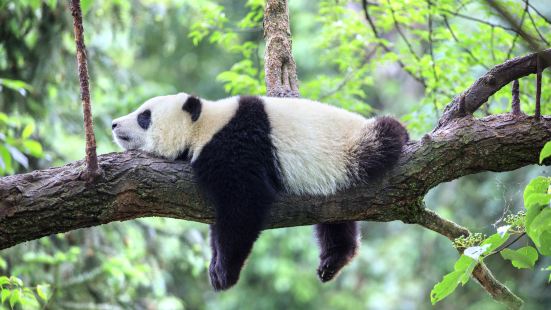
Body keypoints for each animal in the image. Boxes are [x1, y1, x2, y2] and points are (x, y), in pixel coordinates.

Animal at [112, 92, 408, 290]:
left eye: (144, 116)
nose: (114, 124)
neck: (205, 124)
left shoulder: (236, 146)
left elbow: (244, 204)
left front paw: (224, 272)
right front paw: (215, 265)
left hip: (352, 148)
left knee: (385, 136)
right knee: (335, 219)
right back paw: (334, 259)